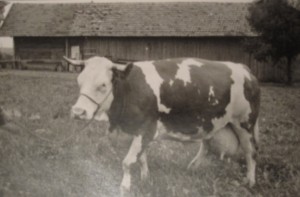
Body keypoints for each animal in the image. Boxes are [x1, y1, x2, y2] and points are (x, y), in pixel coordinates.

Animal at [63, 56, 260, 196]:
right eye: (79, 81)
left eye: (103, 85)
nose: (78, 111)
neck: (130, 89)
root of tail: (244, 69)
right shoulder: (138, 131)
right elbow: (141, 158)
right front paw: (145, 178)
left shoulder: (145, 129)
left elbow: (127, 162)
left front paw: (125, 187)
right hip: (209, 123)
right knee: (206, 145)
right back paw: (193, 167)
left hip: (245, 123)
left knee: (250, 152)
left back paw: (250, 181)